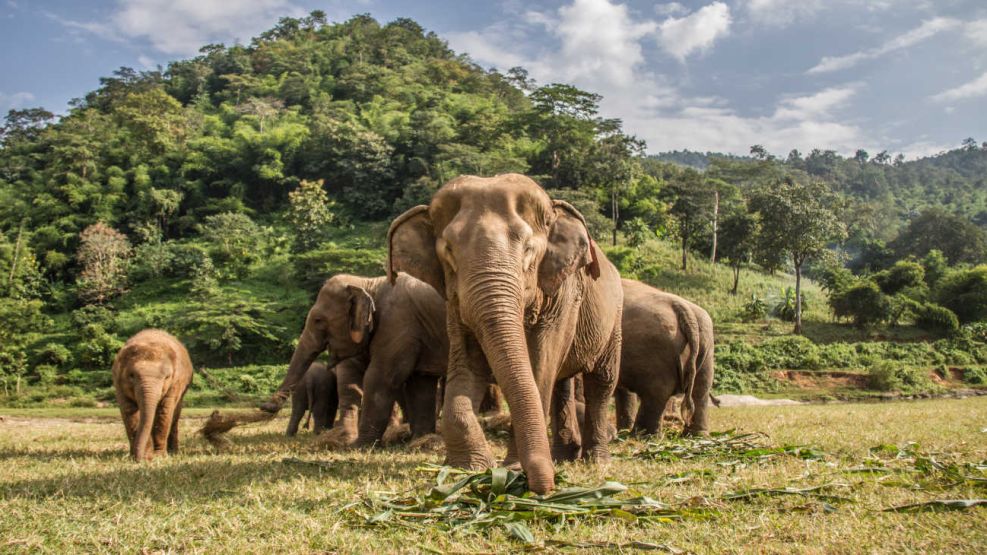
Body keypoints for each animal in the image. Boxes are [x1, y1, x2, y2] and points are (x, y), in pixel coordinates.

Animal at [113, 330, 194, 460]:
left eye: (167, 377)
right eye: (131, 375)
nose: (143, 458)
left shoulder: (176, 383)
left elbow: (164, 411)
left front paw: (159, 456)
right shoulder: (118, 383)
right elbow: (129, 411)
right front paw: (143, 455)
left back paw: (173, 452)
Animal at [260, 274, 450, 448]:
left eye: (318, 320)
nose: (265, 406)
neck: (369, 283)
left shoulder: (398, 327)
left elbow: (379, 379)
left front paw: (359, 446)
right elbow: (420, 384)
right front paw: (420, 441)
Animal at [390, 174, 620, 496]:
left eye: (528, 250)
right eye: (449, 251)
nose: (545, 487)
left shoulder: (563, 295)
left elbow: (540, 366)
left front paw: (511, 468)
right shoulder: (455, 303)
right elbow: (468, 363)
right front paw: (469, 467)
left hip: (614, 321)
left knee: (601, 382)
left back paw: (596, 461)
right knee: (561, 384)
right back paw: (563, 457)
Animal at [612, 280, 712, 436]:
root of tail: (684, 309)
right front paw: (622, 431)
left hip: (654, 349)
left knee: (656, 391)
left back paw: (642, 435)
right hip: (706, 345)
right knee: (701, 389)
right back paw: (695, 435)